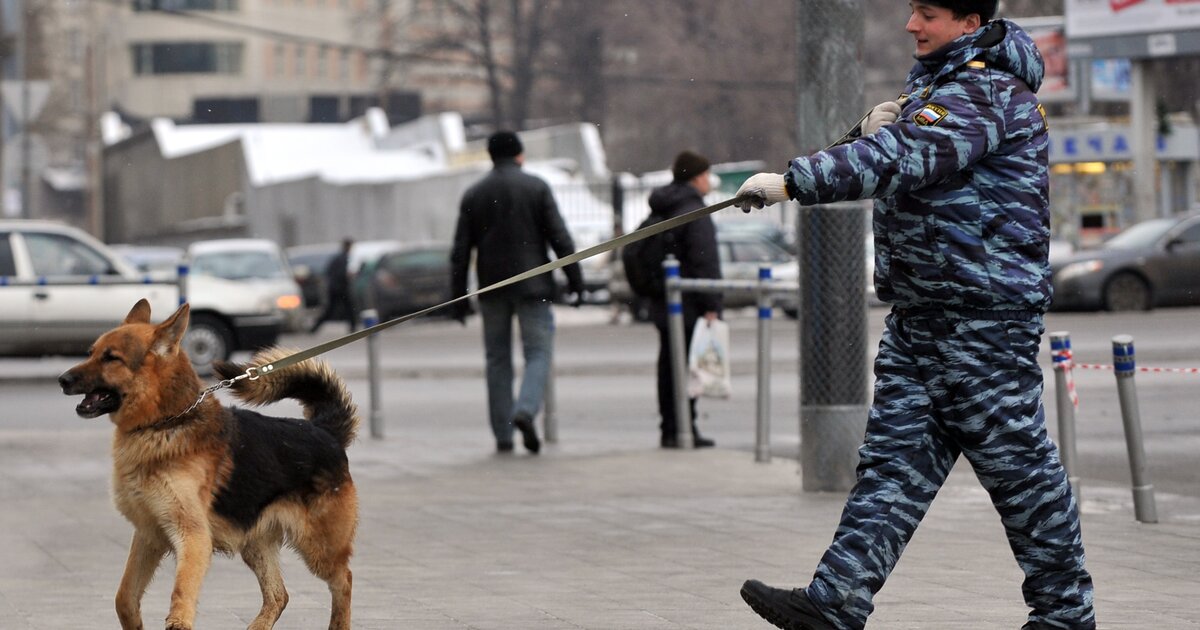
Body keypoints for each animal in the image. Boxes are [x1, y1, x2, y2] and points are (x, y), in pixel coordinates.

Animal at [57, 300, 355, 628]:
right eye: (92, 352)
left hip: (318, 547)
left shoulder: (193, 537)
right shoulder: (149, 535)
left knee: (343, 580)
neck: (164, 423)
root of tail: (324, 430)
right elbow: (124, 598)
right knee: (279, 595)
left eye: (111, 358)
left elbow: (181, 593)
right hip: (255, 545)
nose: (62, 380)